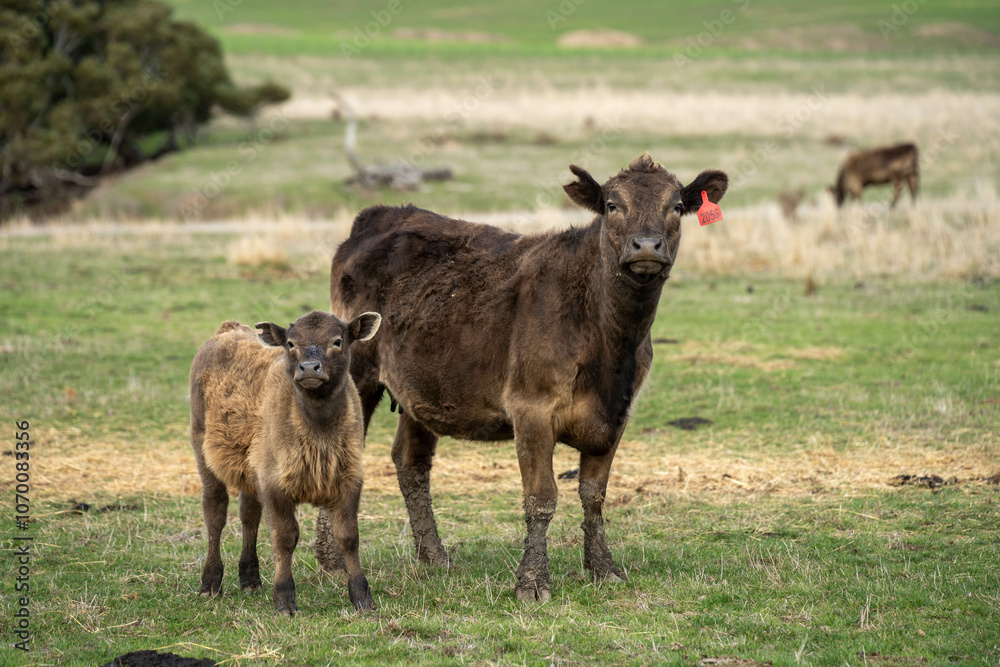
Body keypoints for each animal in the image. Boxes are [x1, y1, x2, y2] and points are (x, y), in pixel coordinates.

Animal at [324, 153, 728, 601]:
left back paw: (434, 556)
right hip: (357, 373)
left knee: (411, 462)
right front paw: (532, 582)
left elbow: (594, 496)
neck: (610, 342)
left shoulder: (616, 415)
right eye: (612, 206)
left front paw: (603, 569)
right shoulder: (530, 408)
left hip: (423, 387)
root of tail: (383, 214)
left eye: (676, 206)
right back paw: (331, 561)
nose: (646, 246)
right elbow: (541, 498)